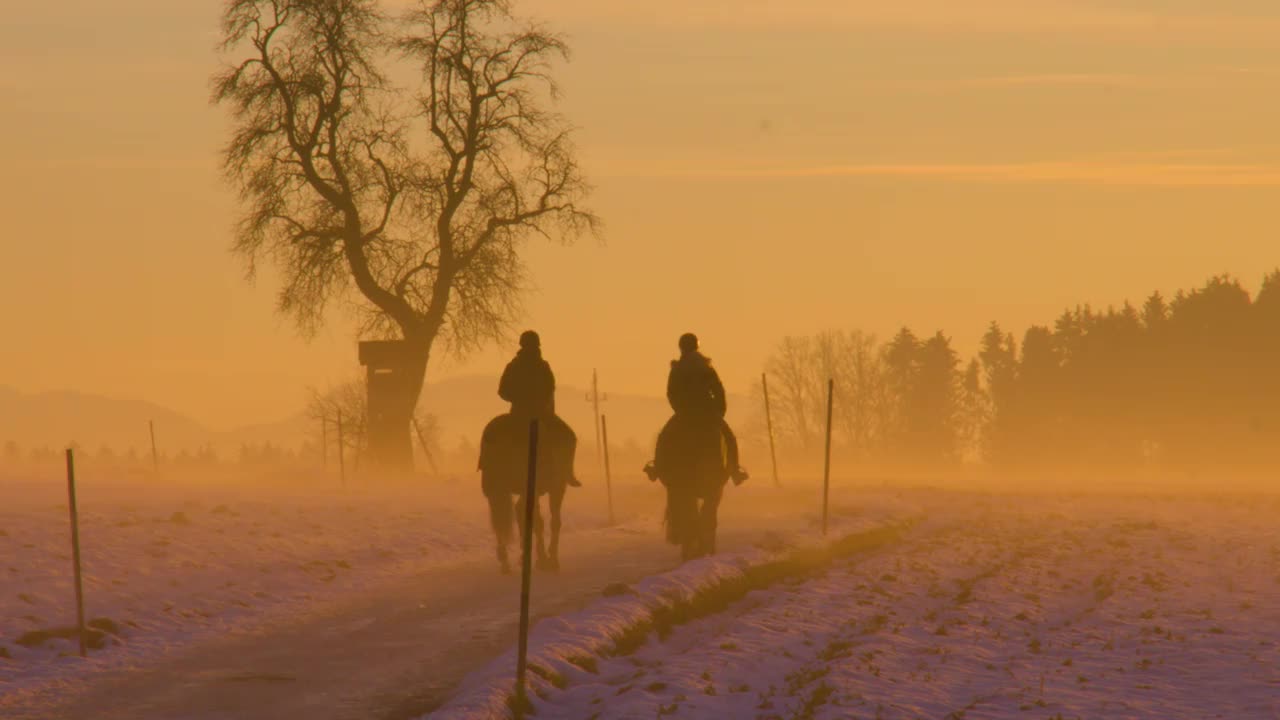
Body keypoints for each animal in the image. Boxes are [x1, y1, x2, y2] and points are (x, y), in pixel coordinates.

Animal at [481, 415, 578, 571]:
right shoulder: (557, 487)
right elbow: (553, 521)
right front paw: (551, 559)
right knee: (532, 518)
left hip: (495, 489)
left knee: (503, 519)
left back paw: (506, 561)